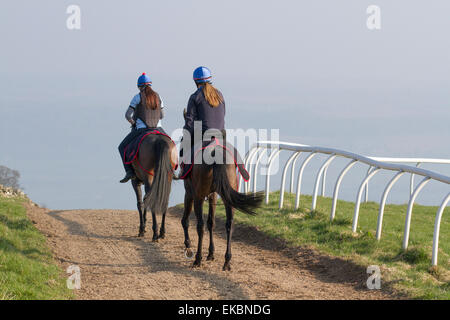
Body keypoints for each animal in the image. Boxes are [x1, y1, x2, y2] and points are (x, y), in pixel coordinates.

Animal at [180, 136, 264, 272]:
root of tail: (216, 152)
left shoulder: (189, 194)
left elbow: (186, 221)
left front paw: (188, 247)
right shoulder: (213, 195)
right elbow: (211, 222)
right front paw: (211, 253)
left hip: (198, 197)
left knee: (200, 226)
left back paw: (198, 259)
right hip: (227, 196)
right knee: (229, 224)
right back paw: (227, 261)